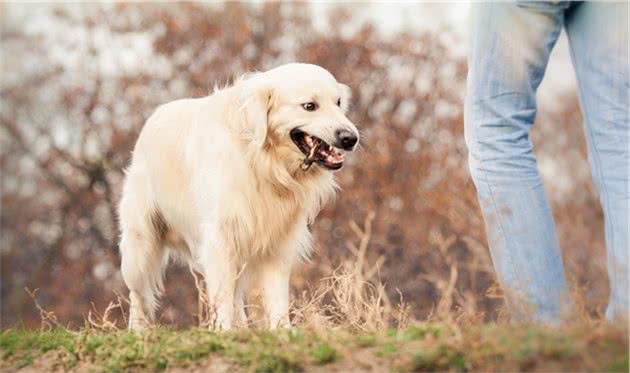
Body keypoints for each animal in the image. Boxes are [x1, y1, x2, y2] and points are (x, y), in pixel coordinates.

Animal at [117, 62, 360, 330]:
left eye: (338, 102)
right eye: (309, 106)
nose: (350, 138)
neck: (264, 162)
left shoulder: (278, 243)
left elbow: (276, 297)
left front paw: (282, 331)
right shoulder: (220, 238)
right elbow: (222, 296)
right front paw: (222, 331)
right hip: (140, 245)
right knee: (139, 295)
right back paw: (138, 331)